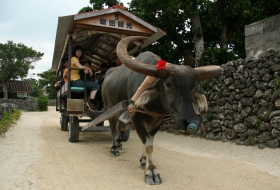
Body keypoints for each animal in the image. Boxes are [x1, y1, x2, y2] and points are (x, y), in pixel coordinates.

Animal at [101, 35, 222, 184]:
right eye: (169, 84)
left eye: (193, 86)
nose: (192, 123)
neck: (154, 106)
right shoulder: (137, 118)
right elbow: (148, 144)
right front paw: (151, 171)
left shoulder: (157, 121)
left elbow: (150, 141)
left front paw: (143, 161)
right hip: (109, 108)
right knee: (113, 128)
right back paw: (113, 148)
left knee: (119, 125)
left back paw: (118, 144)